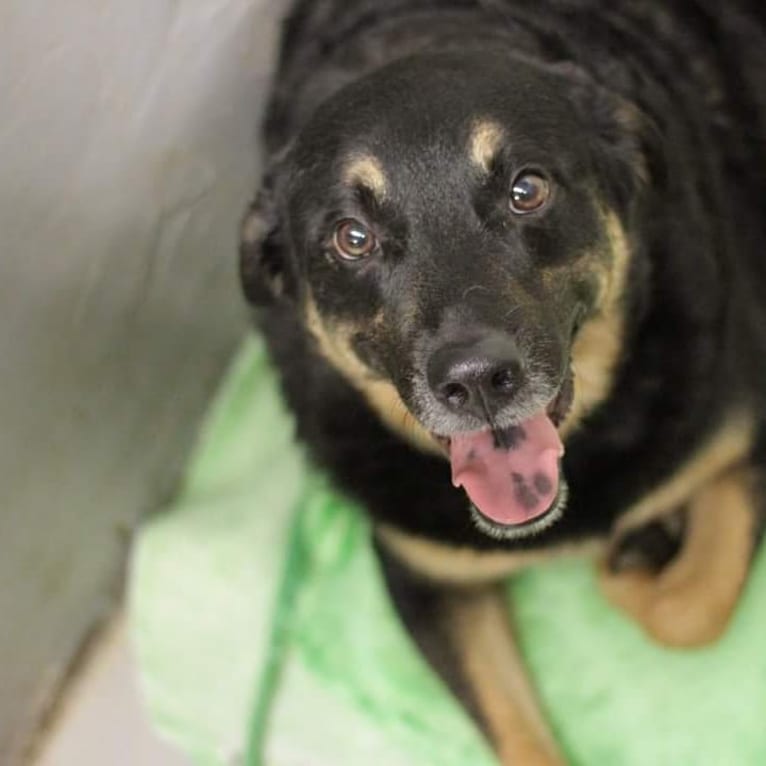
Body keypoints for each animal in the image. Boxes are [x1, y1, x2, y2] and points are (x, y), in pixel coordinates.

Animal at [240, 3, 766, 764]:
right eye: (351, 237)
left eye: (527, 189)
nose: (478, 380)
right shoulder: (426, 573)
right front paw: (641, 550)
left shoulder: (740, 425)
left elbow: (687, 610)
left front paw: (638, 555)